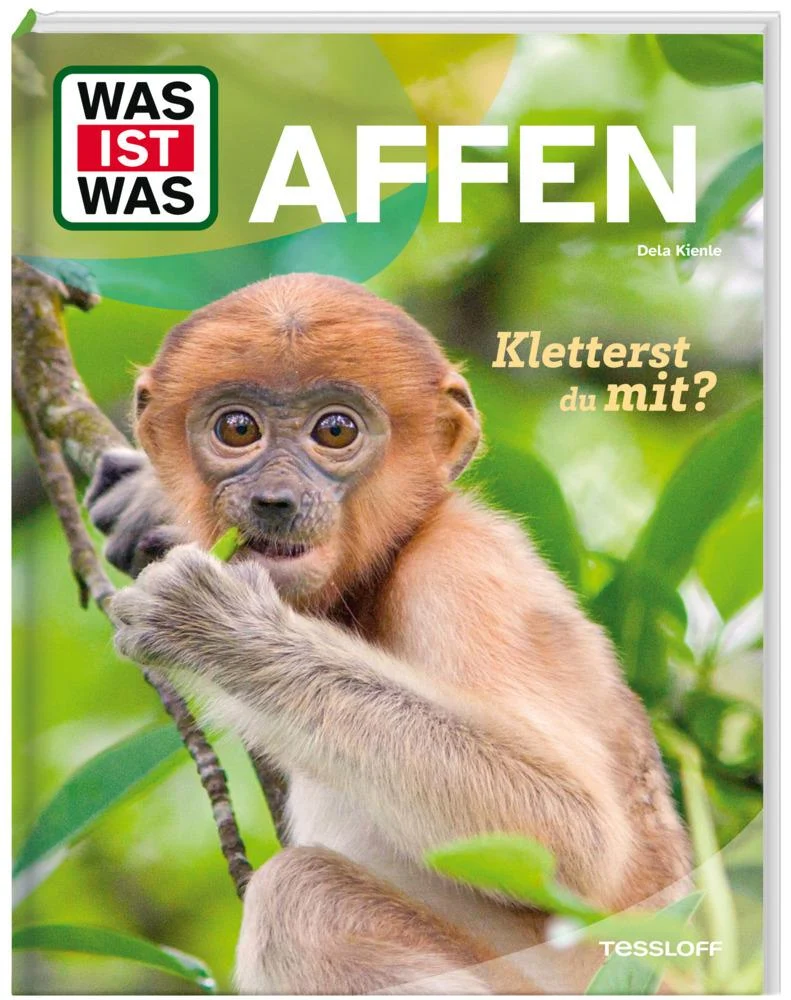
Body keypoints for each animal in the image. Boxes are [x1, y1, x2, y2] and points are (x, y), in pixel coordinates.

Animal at [85, 273, 692, 994]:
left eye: (335, 430)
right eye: (237, 428)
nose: (275, 500)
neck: (375, 577)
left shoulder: (464, 568)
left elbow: (574, 834)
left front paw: (214, 625)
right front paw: (144, 501)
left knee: (299, 898)